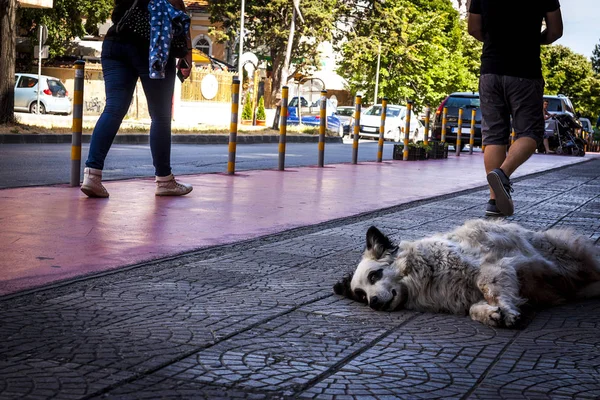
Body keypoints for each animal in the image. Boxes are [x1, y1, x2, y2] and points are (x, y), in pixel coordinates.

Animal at [332, 219, 600, 328]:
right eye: (362, 296)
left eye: (374, 276)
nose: (374, 303)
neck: (427, 274)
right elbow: (473, 308)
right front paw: (491, 314)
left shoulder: (493, 267)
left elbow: (489, 287)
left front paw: (506, 311)